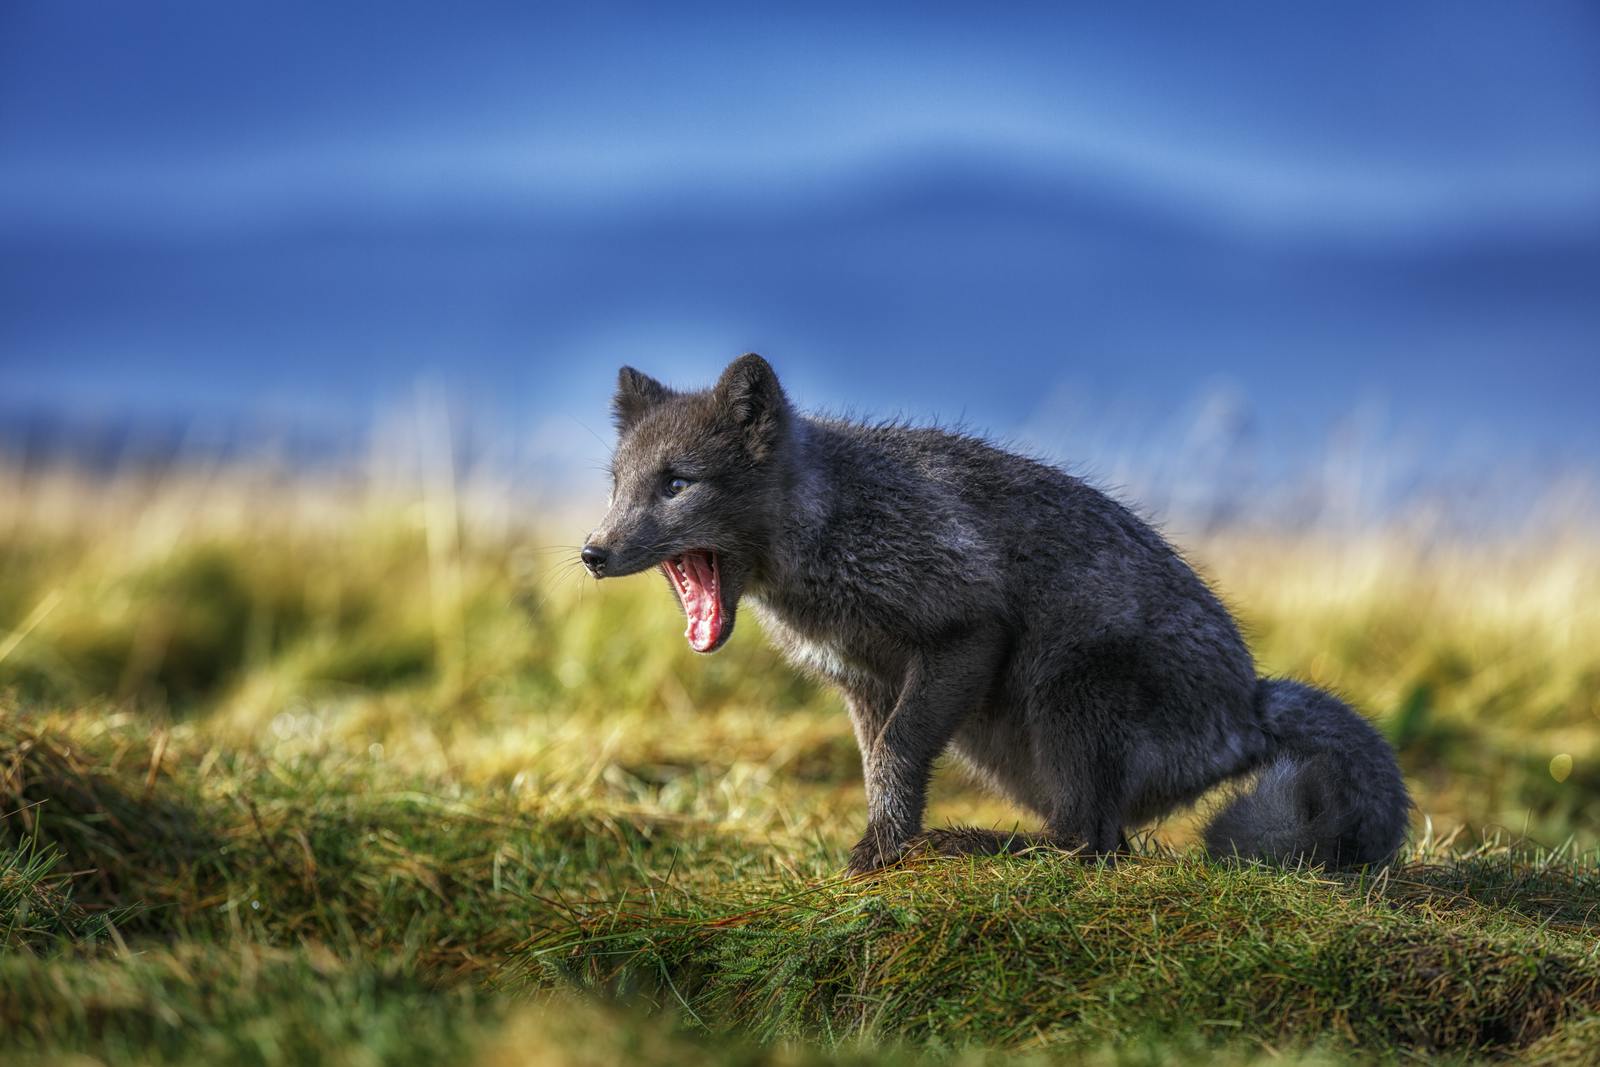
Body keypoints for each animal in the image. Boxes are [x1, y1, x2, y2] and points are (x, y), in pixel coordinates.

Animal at [582, 355, 1408, 870]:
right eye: (617, 484)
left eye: (677, 482)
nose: (592, 551)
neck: (830, 521)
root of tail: (1250, 705)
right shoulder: (864, 682)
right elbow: (883, 764)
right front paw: (884, 850)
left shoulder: (964, 629)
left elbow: (899, 750)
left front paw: (884, 853)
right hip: (1008, 745)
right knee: (1102, 838)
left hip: (1068, 690)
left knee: (1092, 844)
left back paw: (980, 844)